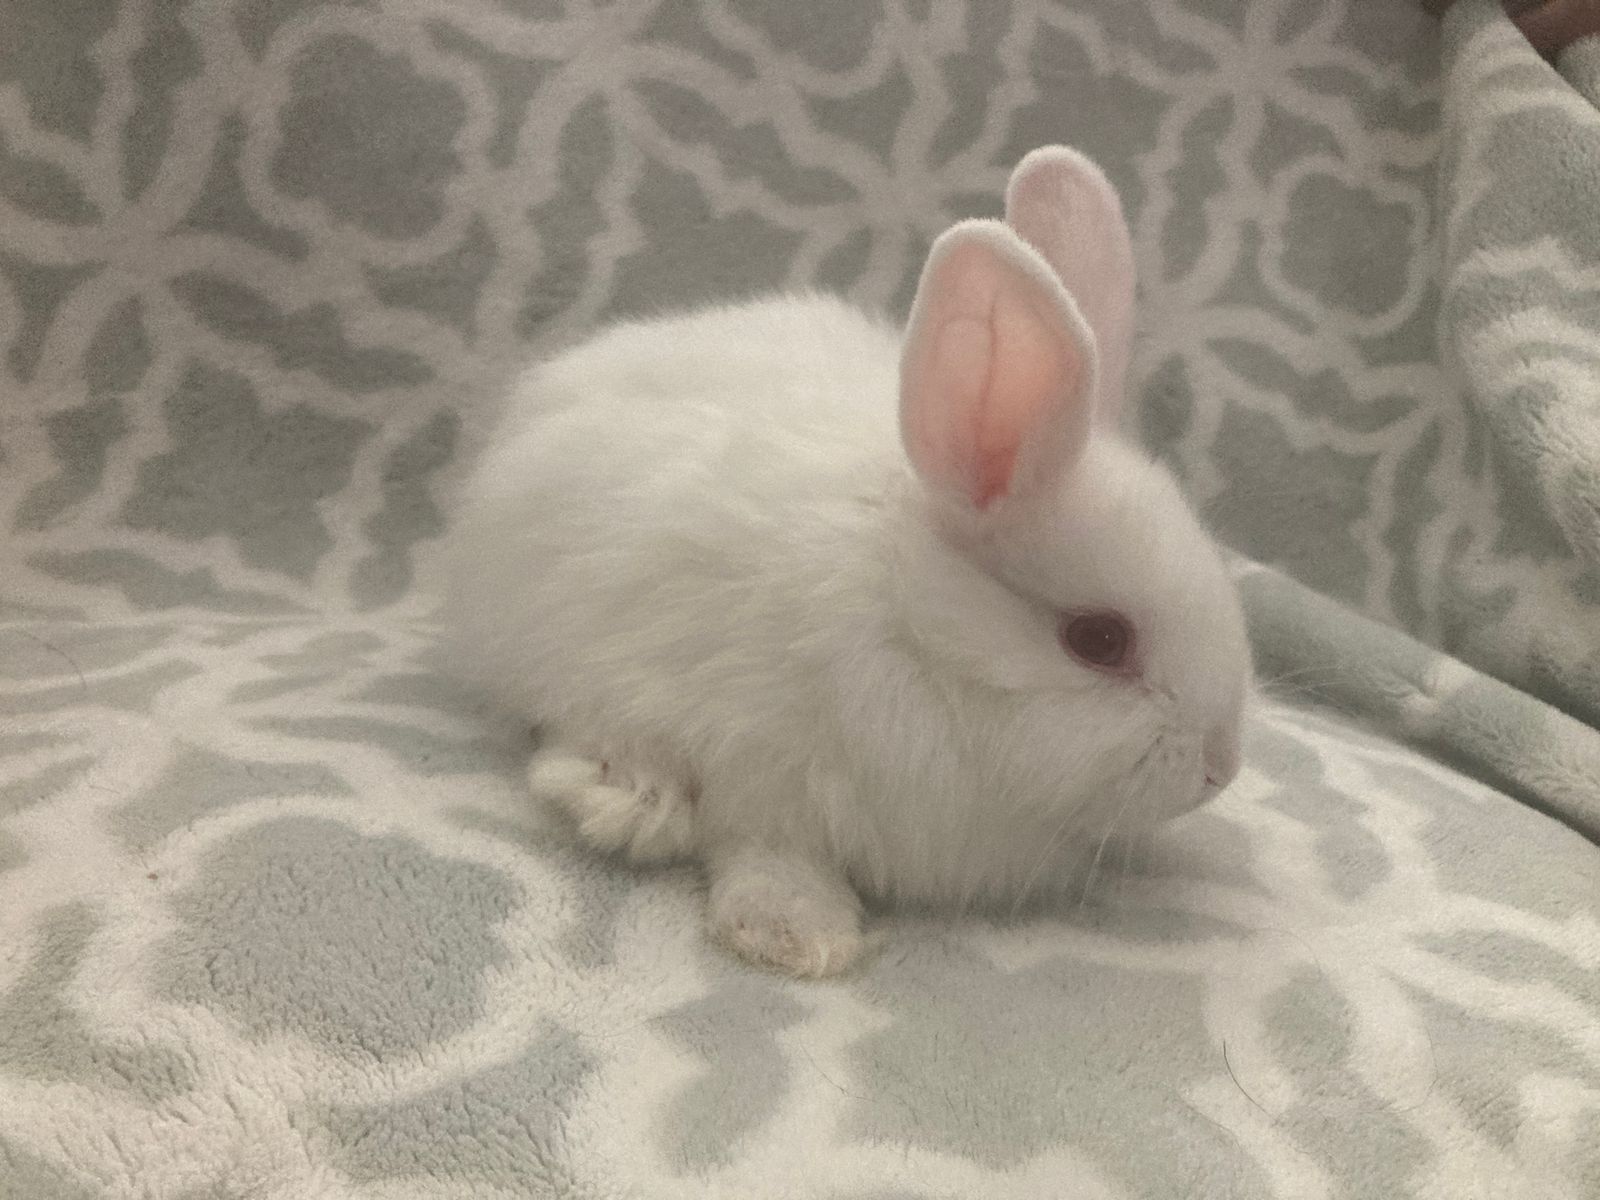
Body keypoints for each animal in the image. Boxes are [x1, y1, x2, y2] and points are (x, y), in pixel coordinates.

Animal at [443, 146, 1251, 978]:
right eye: (1099, 640)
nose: (1220, 766)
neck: (912, 630)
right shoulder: (759, 759)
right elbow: (766, 847)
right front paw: (794, 934)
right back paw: (628, 794)